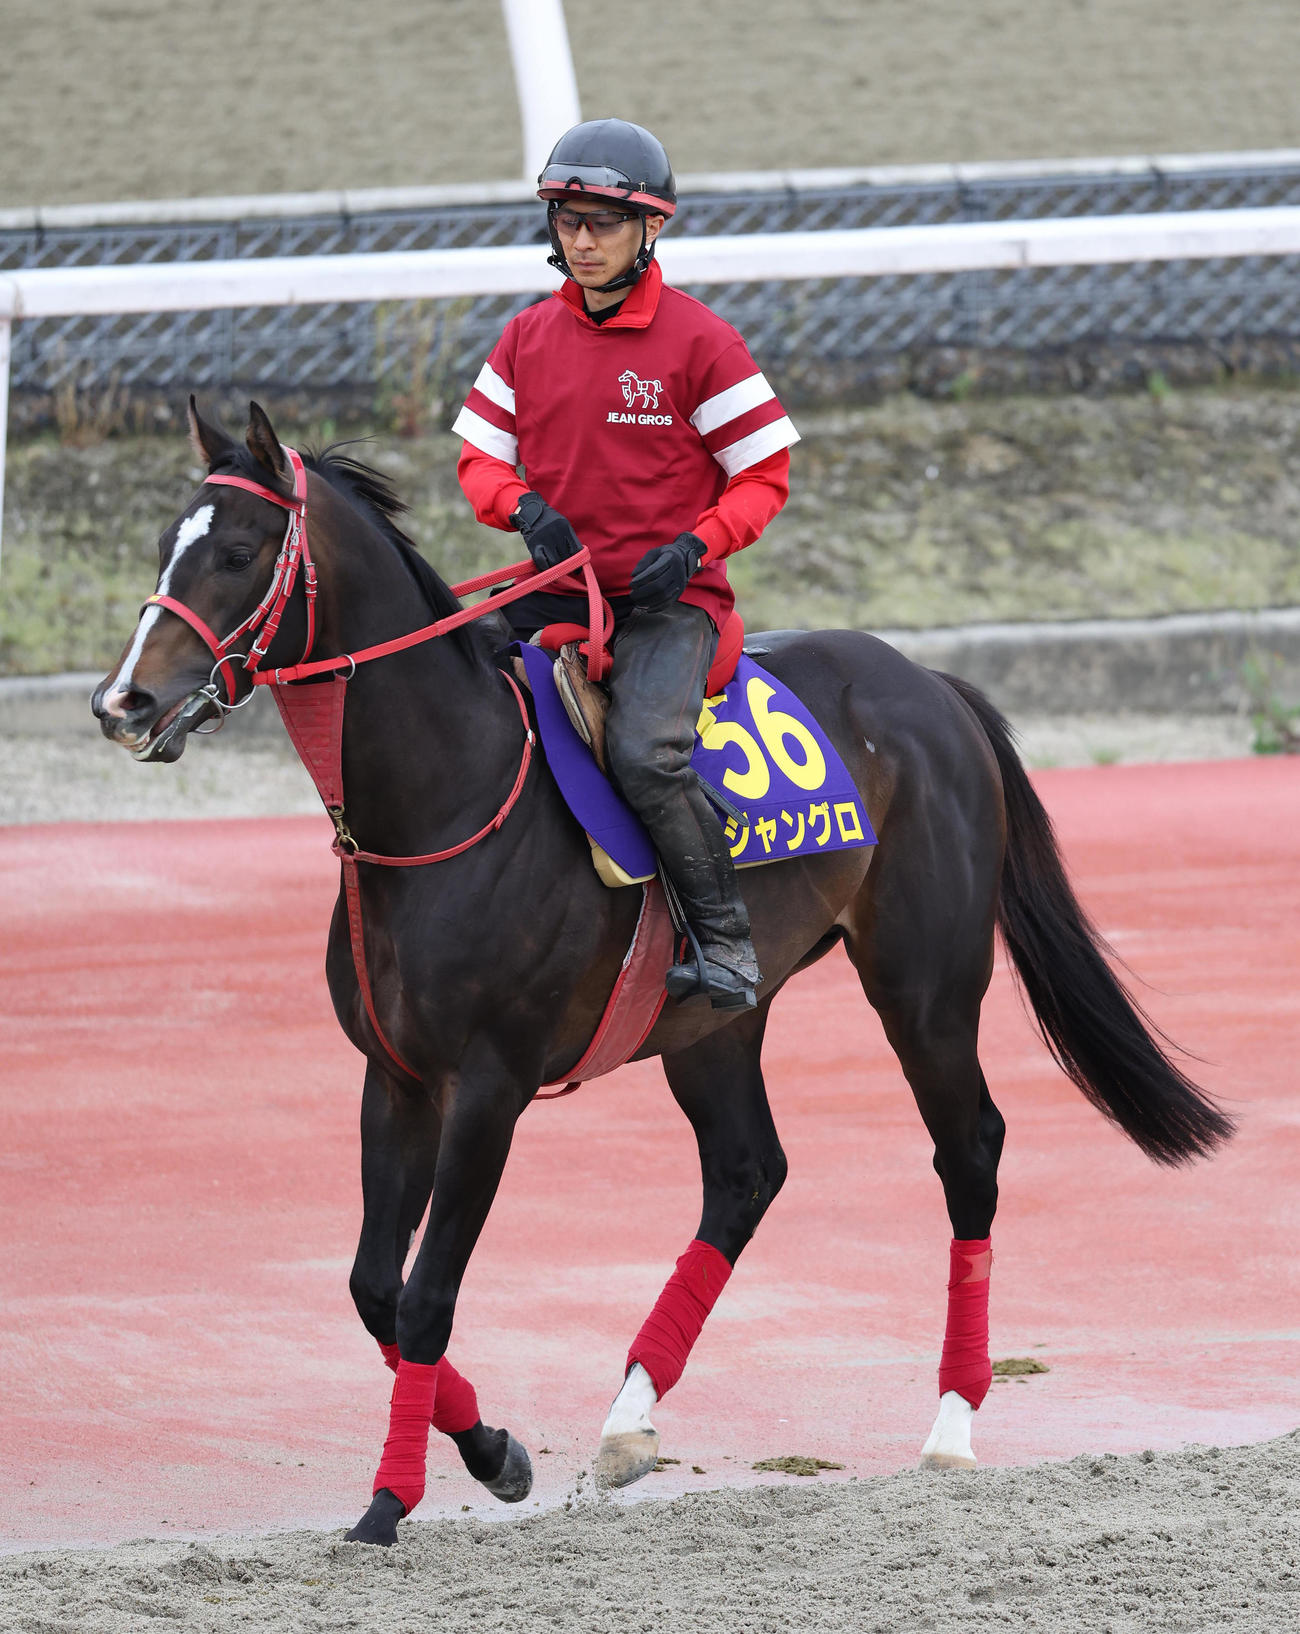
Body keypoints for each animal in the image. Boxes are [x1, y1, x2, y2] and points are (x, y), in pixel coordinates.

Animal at [92, 400, 1233, 1546]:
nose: (123, 699)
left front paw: (390, 1498)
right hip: (713, 1021)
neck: (446, 801)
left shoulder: (490, 1085)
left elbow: (423, 1295)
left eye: (238, 553)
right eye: (163, 544)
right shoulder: (397, 1075)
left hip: (926, 985)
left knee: (970, 1153)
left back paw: (951, 1423)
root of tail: (931, 685)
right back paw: (627, 1422)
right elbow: (375, 1286)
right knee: (746, 1172)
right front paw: (494, 1452)